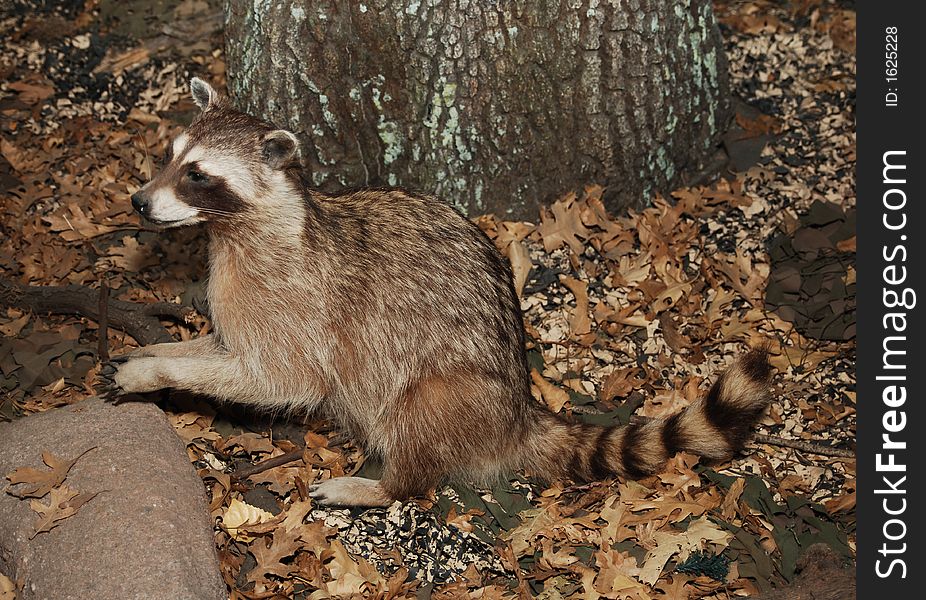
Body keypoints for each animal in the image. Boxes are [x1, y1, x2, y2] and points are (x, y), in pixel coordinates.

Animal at [101, 78, 776, 506]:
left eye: (197, 175)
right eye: (170, 156)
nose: (138, 202)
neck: (239, 230)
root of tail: (517, 413)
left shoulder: (298, 303)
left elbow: (278, 379)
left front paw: (158, 371)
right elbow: (225, 348)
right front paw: (159, 353)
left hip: (449, 387)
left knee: (417, 414)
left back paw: (387, 484)